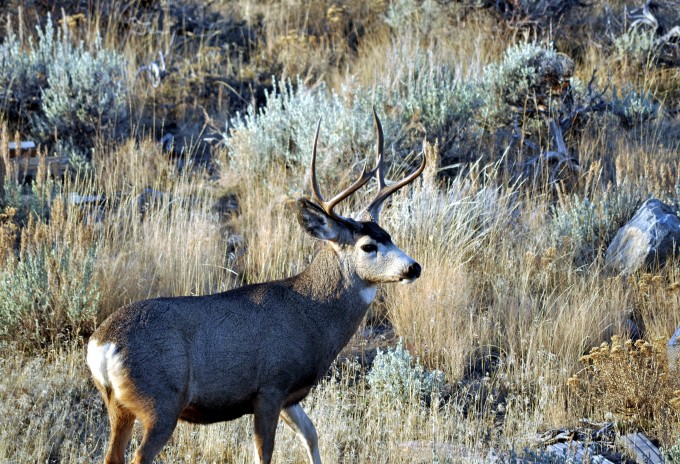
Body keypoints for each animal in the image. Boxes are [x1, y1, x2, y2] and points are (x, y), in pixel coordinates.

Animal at [86, 110, 425, 464]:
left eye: (389, 236)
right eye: (368, 246)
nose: (413, 267)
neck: (310, 315)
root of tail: (102, 345)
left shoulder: (290, 395)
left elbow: (311, 434)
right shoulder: (269, 386)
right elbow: (265, 452)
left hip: (119, 405)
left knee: (113, 456)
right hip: (161, 400)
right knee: (139, 456)